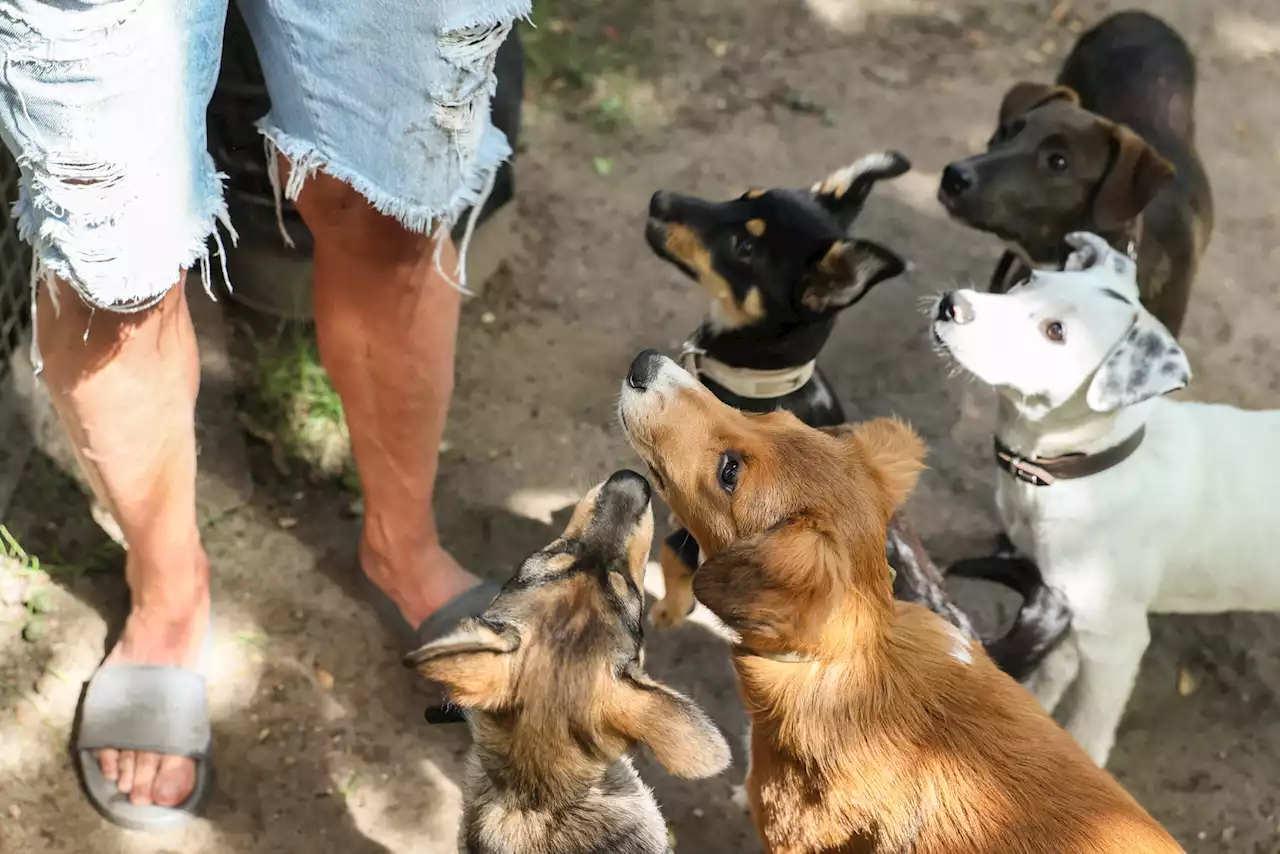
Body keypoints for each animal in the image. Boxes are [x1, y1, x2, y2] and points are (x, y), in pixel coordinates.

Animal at [931, 231, 1280, 768]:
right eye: (1028, 281)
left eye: (1056, 332)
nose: (953, 304)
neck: (1090, 468)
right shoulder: (1061, 602)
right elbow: (1044, 682)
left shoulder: (1116, 641)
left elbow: (1088, 731)